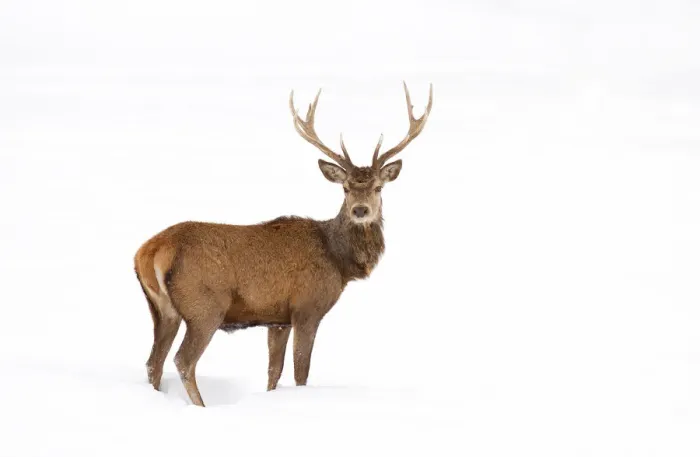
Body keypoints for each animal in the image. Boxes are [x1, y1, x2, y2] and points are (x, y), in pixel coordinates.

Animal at [133, 82, 433, 406]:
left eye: (378, 187)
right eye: (345, 188)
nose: (360, 210)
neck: (338, 261)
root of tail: (150, 251)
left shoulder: (277, 319)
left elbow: (273, 373)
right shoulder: (307, 308)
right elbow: (301, 372)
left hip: (161, 309)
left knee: (153, 362)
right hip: (204, 306)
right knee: (183, 361)